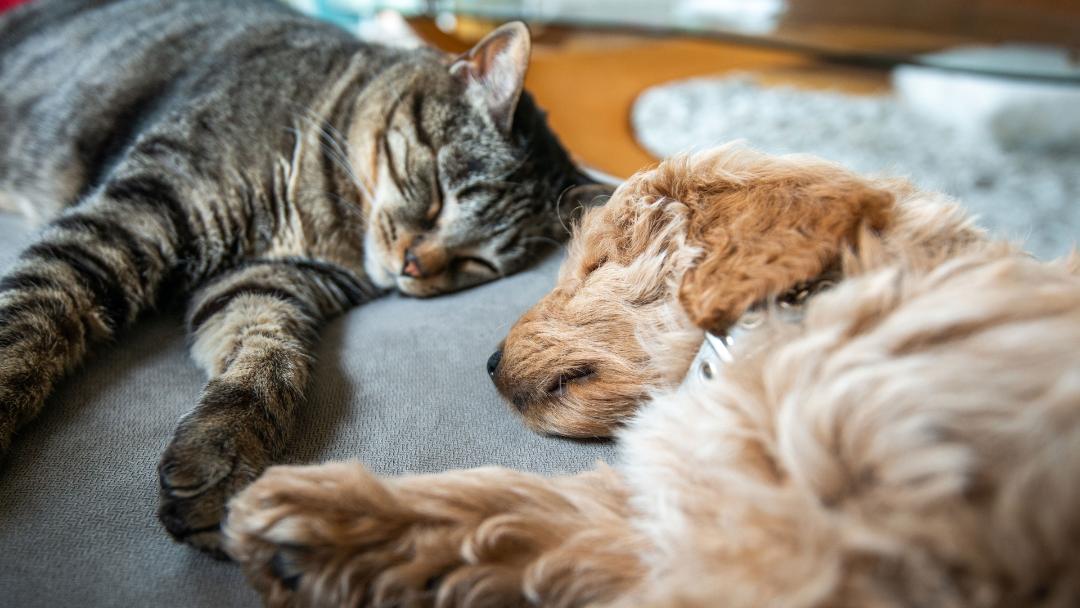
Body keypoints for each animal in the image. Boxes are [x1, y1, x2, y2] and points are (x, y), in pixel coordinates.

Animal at [0, 0, 591, 557]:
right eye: (441, 196)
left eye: (477, 263)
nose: (413, 266)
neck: (321, 222)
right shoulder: (137, 215)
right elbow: (33, 313)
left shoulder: (264, 283)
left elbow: (270, 363)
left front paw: (222, 457)